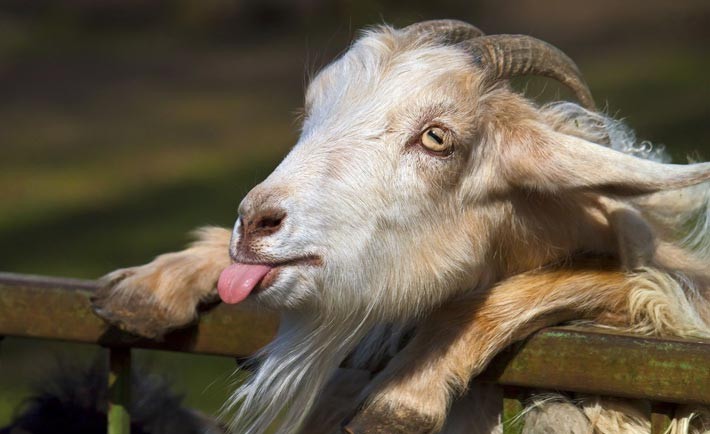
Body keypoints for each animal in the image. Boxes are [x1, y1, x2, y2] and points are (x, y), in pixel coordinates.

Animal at [92, 20, 710, 434]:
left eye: (437, 137)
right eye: (311, 115)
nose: (254, 223)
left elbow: (609, 280)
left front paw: (404, 395)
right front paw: (149, 286)